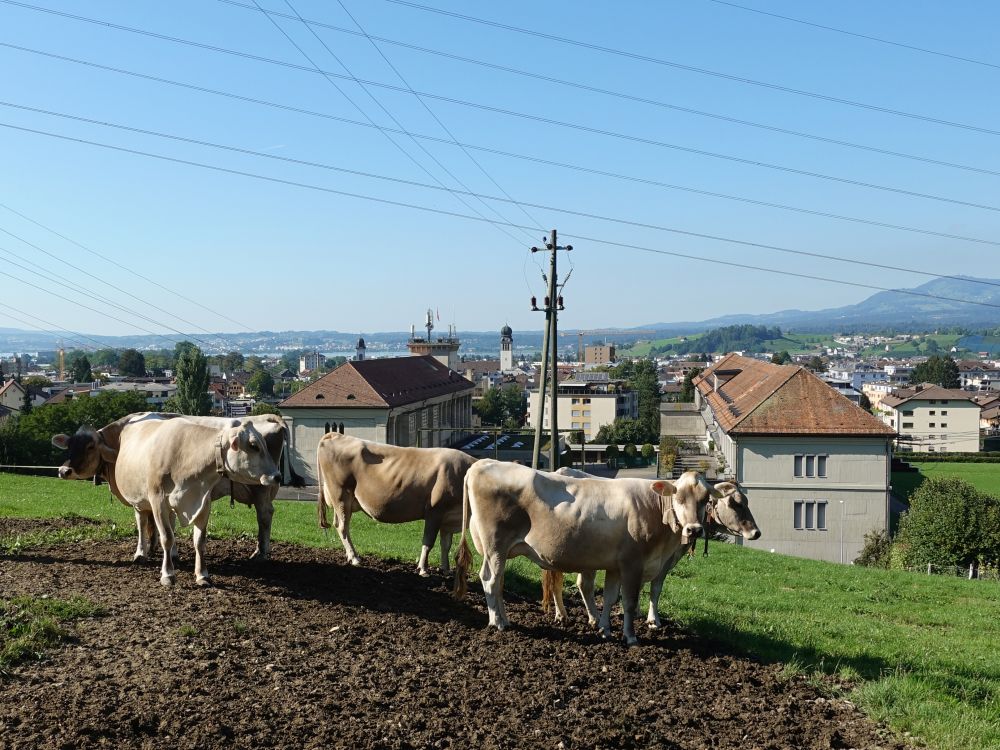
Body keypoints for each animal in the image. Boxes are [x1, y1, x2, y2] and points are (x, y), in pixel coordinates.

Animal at [52, 412, 302, 564]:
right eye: (71, 444)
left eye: (89, 446)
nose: (63, 470)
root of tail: (268, 416)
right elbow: (162, 524)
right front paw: (160, 549)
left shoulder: (140, 499)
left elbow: (143, 524)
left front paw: (142, 552)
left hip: (262, 487)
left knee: (265, 516)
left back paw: (261, 552)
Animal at [109, 418, 280, 588]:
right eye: (253, 445)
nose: (277, 476)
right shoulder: (158, 501)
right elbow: (166, 537)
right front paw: (168, 574)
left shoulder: (203, 502)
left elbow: (199, 541)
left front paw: (202, 575)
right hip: (139, 501)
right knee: (142, 524)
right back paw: (140, 553)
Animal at [318, 432, 478, 580]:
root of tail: (335, 435)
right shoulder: (435, 510)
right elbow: (428, 542)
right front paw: (423, 569)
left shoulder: (449, 516)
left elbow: (446, 544)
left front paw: (446, 569)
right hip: (341, 494)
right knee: (343, 527)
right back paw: (355, 558)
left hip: (341, 501)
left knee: (338, 524)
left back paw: (349, 556)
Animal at [454, 458, 720, 648]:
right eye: (679, 496)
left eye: (706, 499)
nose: (694, 529)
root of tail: (483, 463)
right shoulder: (632, 563)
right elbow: (630, 602)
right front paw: (630, 637)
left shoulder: (616, 565)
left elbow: (611, 598)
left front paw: (604, 629)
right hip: (494, 546)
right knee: (490, 580)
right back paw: (497, 622)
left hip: (500, 550)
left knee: (499, 582)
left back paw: (506, 619)